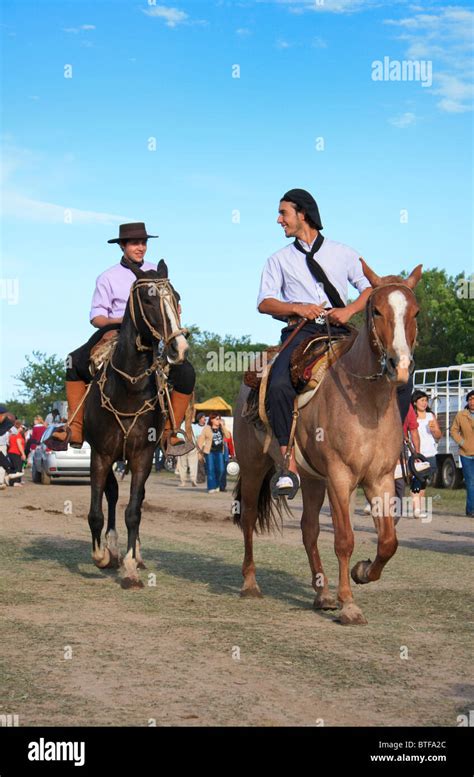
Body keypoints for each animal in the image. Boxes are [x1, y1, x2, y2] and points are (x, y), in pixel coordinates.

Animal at [83, 258, 187, 584]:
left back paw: (133, 554)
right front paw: (102, 556)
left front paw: (130, 565)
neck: (128, 388)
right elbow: (96, 511)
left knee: (134, 500)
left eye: (176, 298)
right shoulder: (101, 454)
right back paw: (111, 547)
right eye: (149, 300)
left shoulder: (142, 456)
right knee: (112, 494)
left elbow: (134, 510)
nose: (179, 348)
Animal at [233, 260, 422, 624]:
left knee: (309, 528)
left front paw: (362, 572)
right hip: (253, 466)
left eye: (415, 312)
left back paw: (322, 594)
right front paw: (349, 604)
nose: (400, 366)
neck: (366, 401)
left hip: (310, 477)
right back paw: (249, 583)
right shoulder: (340, 476)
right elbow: (344, 539)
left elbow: (388, 541)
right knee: (248, 518)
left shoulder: (379, 479)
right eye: (376, 310)